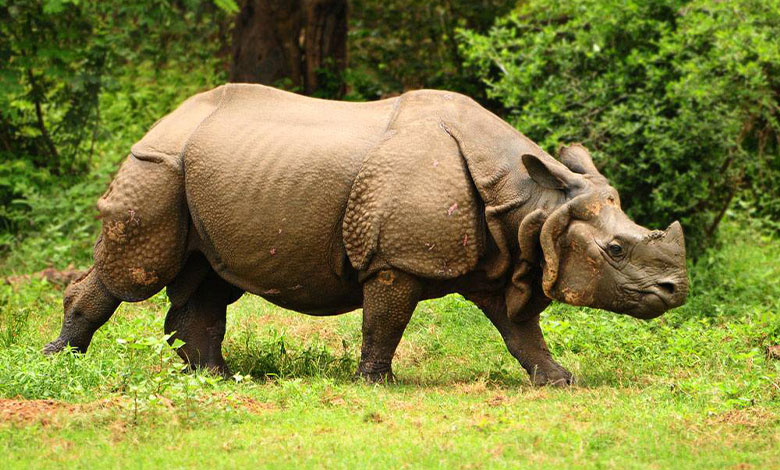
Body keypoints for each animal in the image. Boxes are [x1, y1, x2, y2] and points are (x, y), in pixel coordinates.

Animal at [44, 84, 688, 385]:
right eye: (616, 249)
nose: (677, 290)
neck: (532, 204)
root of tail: (166, 119)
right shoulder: (396, 259)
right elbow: (385, 321)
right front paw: (377, 384)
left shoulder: (502, 257)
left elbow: (521, 331)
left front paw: (561, 381)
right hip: (157, 165)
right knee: (134, 271)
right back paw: (60, 363)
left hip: (204, 172)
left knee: (207, 278)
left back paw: (217, 378)